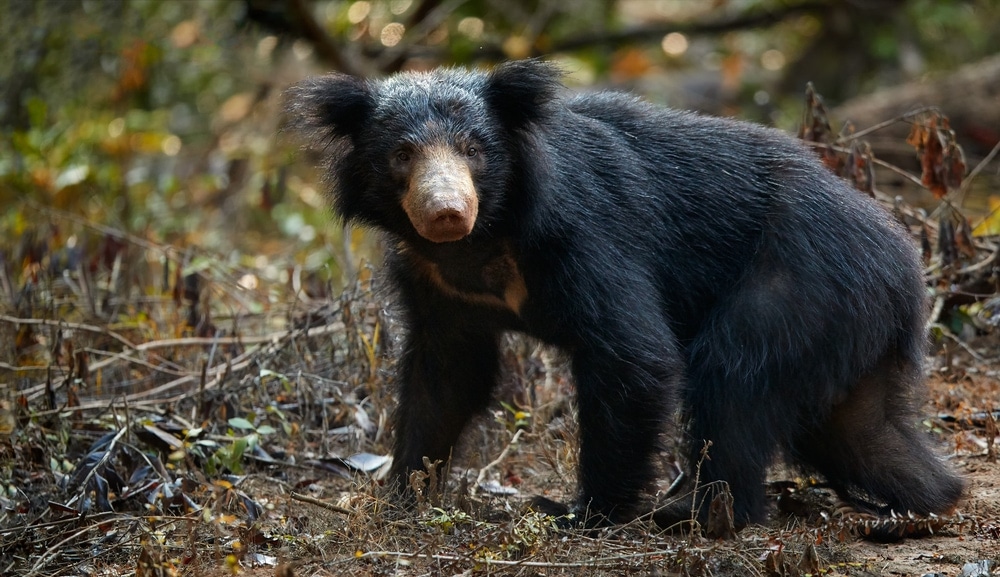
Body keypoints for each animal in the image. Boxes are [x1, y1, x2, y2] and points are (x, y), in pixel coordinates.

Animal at [284, 59, 964, 530]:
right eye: (403, 155)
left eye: (474, 151)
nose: (446, 211)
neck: (485, 241)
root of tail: (906, 264)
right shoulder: (436, 284)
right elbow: (445, 378)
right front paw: (402, 494)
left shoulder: (585, 235)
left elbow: (631, 355)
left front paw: (582, 514)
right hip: (839, 322)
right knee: (859, 428)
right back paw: (928, 499)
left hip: (794, 283)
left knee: (733, 377)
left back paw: (700, 514)